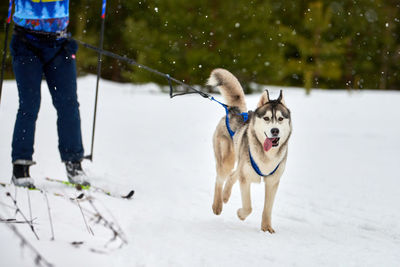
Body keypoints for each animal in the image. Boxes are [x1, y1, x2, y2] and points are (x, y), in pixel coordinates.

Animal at [208, 68, 292, 234]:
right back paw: (218, 204)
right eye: (266, 118)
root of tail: (234, 110)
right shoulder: (246, 179)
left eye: (280, 119)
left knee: (232, 175)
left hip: (240, 162)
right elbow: (248, 207)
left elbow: (267, 209)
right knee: (220, 179)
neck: (267, 156)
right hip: (227, 161)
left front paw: (266, 228)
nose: (275, 131)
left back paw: (225, 196)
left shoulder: (272, 182)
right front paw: (241, 215)